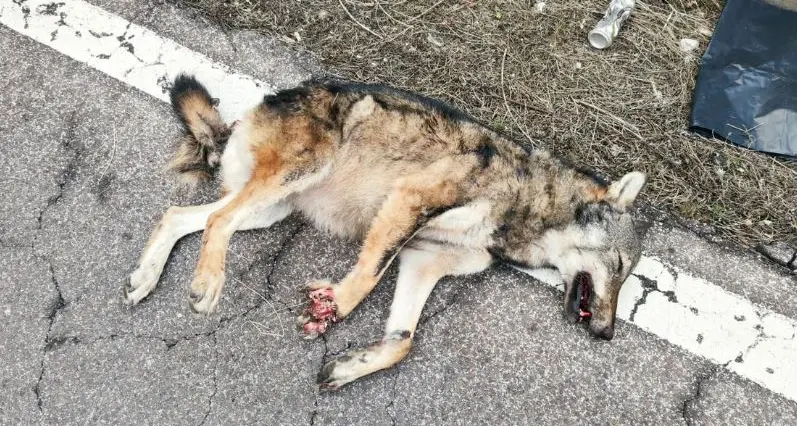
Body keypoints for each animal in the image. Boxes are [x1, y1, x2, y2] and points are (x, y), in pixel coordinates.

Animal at [123, 74, 648, 389]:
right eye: (621, 266)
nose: (607, 334)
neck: (528, 200)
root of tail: (254, 111)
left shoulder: (422, 260)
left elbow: (402, 341)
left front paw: (350, 365)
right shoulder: (409, 201)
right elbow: (369, 276)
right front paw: (333, 308)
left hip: (272, 209)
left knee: (180, 215)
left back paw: (146, 278)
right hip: (297, 175)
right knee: (217, 221)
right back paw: (208, 283)